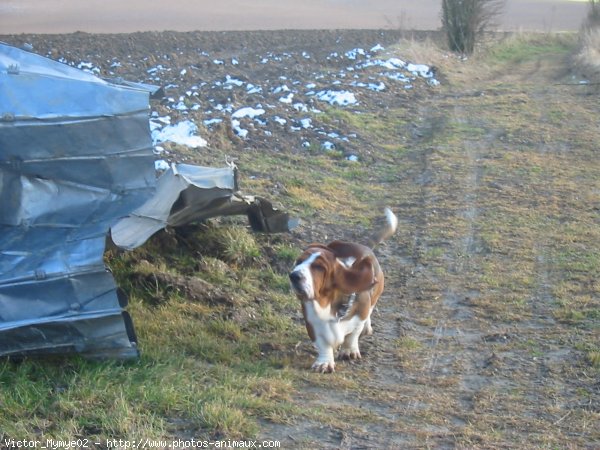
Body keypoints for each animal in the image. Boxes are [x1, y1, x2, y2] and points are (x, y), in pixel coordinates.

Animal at [290, 207, 398, 372]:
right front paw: (324, 362)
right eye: (299, 261)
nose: (293, 275)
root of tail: (364, 245)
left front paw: (349, 351)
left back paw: (367, 328)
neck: (326, 304)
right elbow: (323, 344)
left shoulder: (360, 315)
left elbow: (352, 336)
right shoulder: (312, 323)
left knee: (370, 310)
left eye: (319, 267)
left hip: (375, 295)